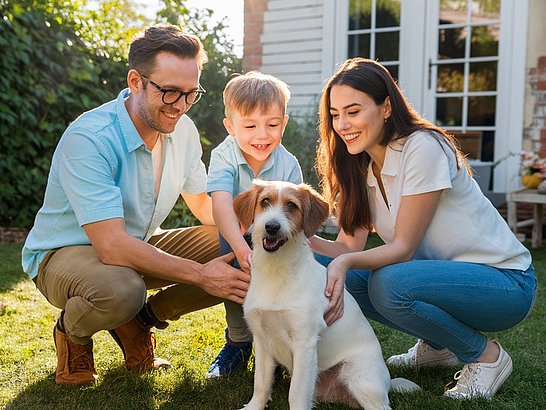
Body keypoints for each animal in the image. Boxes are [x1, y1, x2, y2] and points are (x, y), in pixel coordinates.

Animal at [233, 181, 416, 408]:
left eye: (292, 205)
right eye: (265, 201)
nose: (272, 226)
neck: (276, 272)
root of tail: (388, 382)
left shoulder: (305, 343)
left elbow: (296, 394)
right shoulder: (262, 340)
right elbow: (261, 384)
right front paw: (253, 406)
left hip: (360, 377)